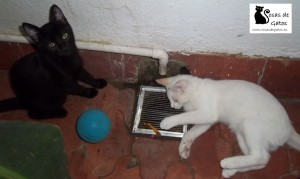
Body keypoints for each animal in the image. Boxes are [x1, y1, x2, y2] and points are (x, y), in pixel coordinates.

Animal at [157, 74, 300, 178]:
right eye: (170, 100)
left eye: (175, 100)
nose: (173, 106)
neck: (197, 90)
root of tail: (289, 129)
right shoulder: (207, 121)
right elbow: (190, 133)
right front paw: (183, 148)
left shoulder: (207, 113)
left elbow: (184, 117)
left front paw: (168, 121)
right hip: (242, 135)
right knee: (260, 162)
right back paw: (230, 170)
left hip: (250, 126)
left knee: (261, 156)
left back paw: (227, 162)